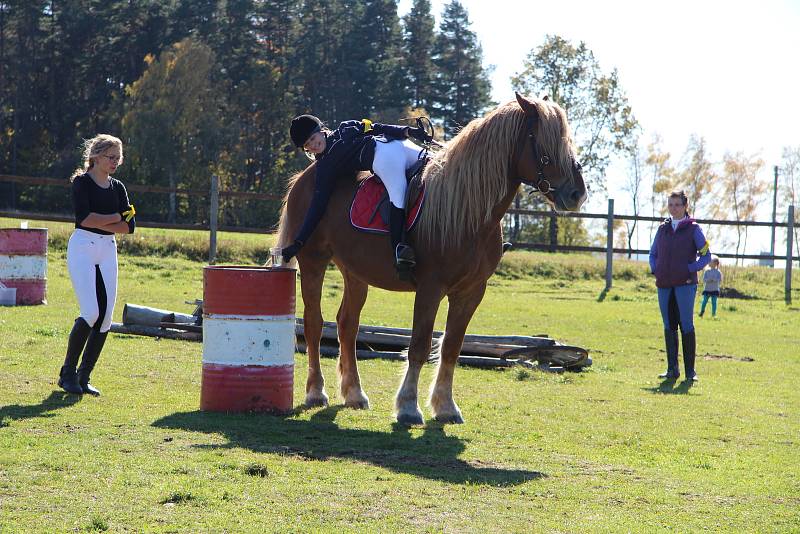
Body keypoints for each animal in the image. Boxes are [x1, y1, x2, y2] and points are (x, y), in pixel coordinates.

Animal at [278, 93, 584, 428]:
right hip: (313, 262)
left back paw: (355, 394)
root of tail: (304, 178)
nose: (577, 193)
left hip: (355, 272)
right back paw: (316, 392)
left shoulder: (471, 292)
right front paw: (409, 407)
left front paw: (446, 406)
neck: (469, 209)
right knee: (314, 323)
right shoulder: (430, 288)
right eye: (544, 144)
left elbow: (451, 347)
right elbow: (420, 346)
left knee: (347, 325)